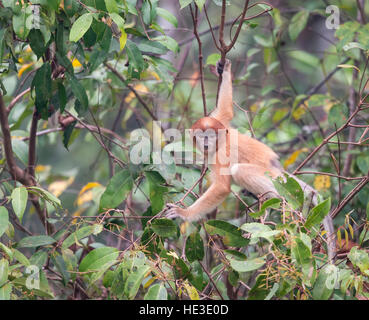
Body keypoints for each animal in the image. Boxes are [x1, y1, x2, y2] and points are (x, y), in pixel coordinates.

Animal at [165, 58, 334, 262]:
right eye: (201, 135)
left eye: (211, 136)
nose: (205, 143)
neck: (221, 142)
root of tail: (277, 169)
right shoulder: (220, 122)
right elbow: (225, 111)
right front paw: (224, 69)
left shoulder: (221, 154)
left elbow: (222, 187)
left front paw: (183, 213)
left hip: (272, 178)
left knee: (240, 171)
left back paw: (274, 202)